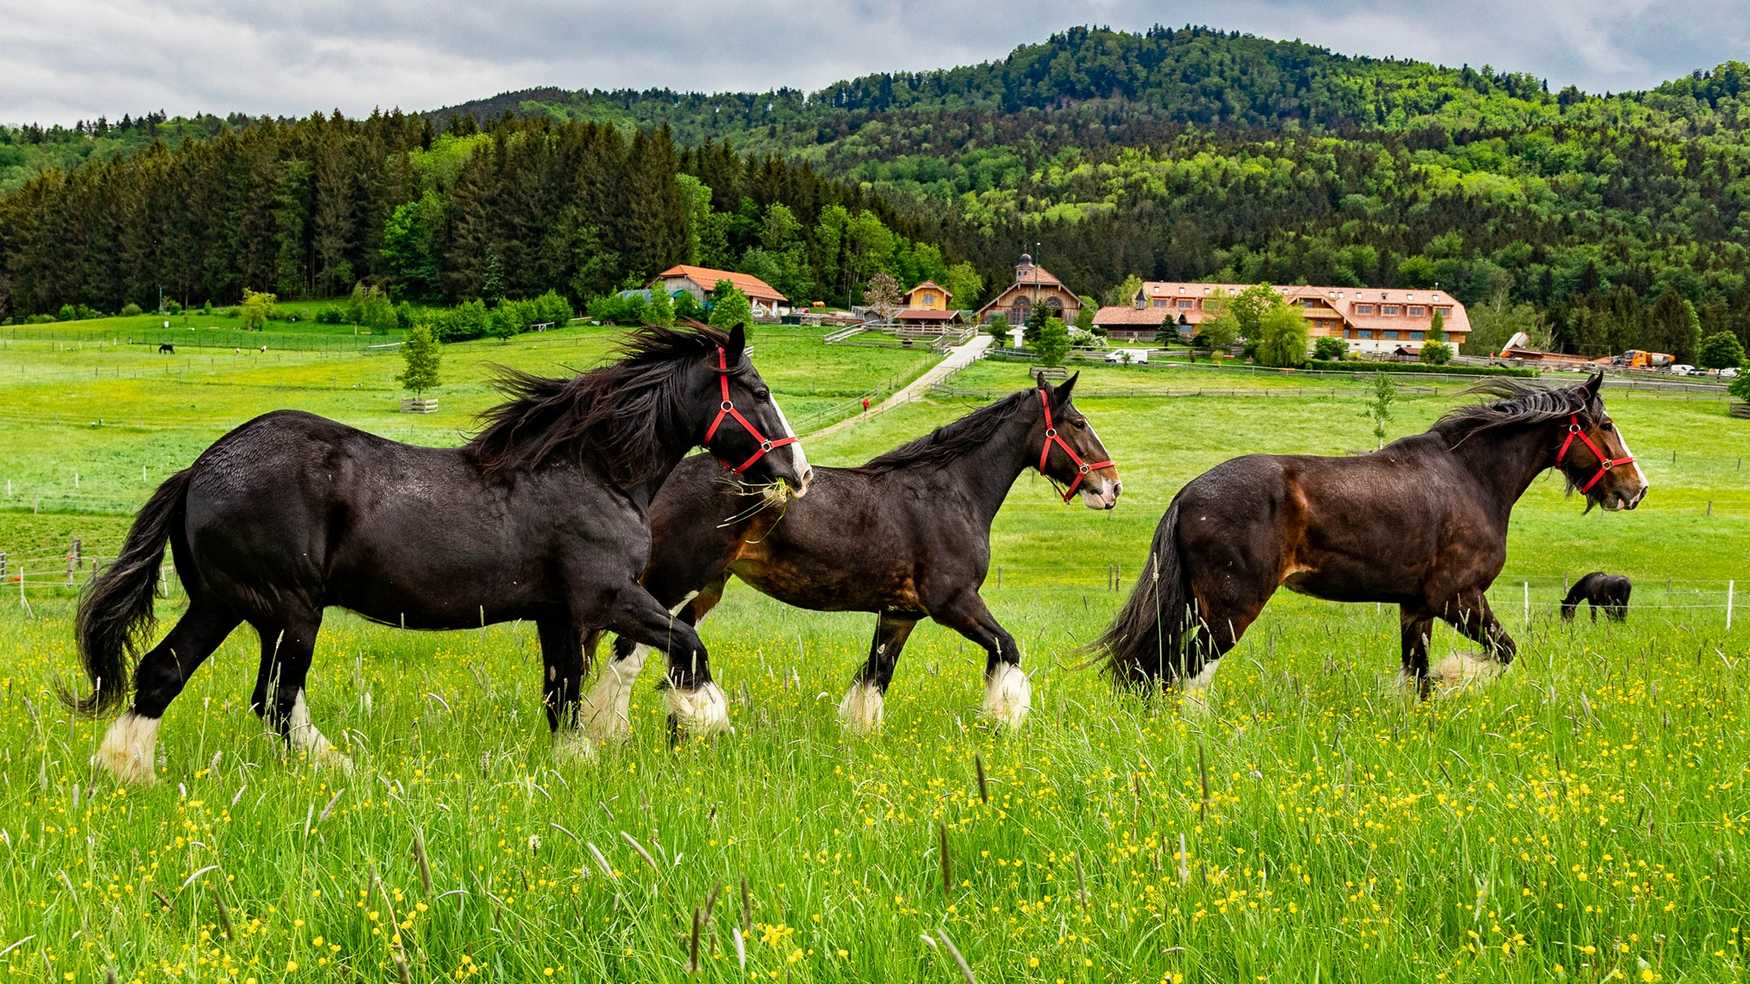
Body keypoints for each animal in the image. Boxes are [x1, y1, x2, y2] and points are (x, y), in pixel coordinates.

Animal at [61, 323, 812, 780]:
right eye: (759, 391)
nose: (800, 472)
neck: (594, 471)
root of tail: (198, 470)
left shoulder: (558, 615)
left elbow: (562, 695)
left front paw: (577, 758)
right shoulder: (606, 598)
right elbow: (687, 644)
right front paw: (702, 722)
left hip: (226, 605)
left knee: (164, 673)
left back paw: (124, 771)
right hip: (289, 611)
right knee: (275, 702)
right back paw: (339, 767)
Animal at [577, 371, 1120, 738]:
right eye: (1077, 423)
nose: (1112, 487)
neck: (950, 491)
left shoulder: (900, 614)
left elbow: (875, 678)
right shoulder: (955, 603)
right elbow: (1007, 650)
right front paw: (1002, 722)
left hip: (708, 587)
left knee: (667, 655)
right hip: (671, 580)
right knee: (629, 654)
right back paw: (610, 734)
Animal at [1099, 369, 1645, 696]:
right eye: (1607, 425)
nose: (1635, 488)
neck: (1470, 477)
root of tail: (1189, 493)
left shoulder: (1417, 607)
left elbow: (1419, 678)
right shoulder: (1458, 598)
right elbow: (1501, 653)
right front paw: (1458, 675)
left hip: (1199, 608)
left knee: (1158, 669)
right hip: (1231, 612)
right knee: (1177, 673)